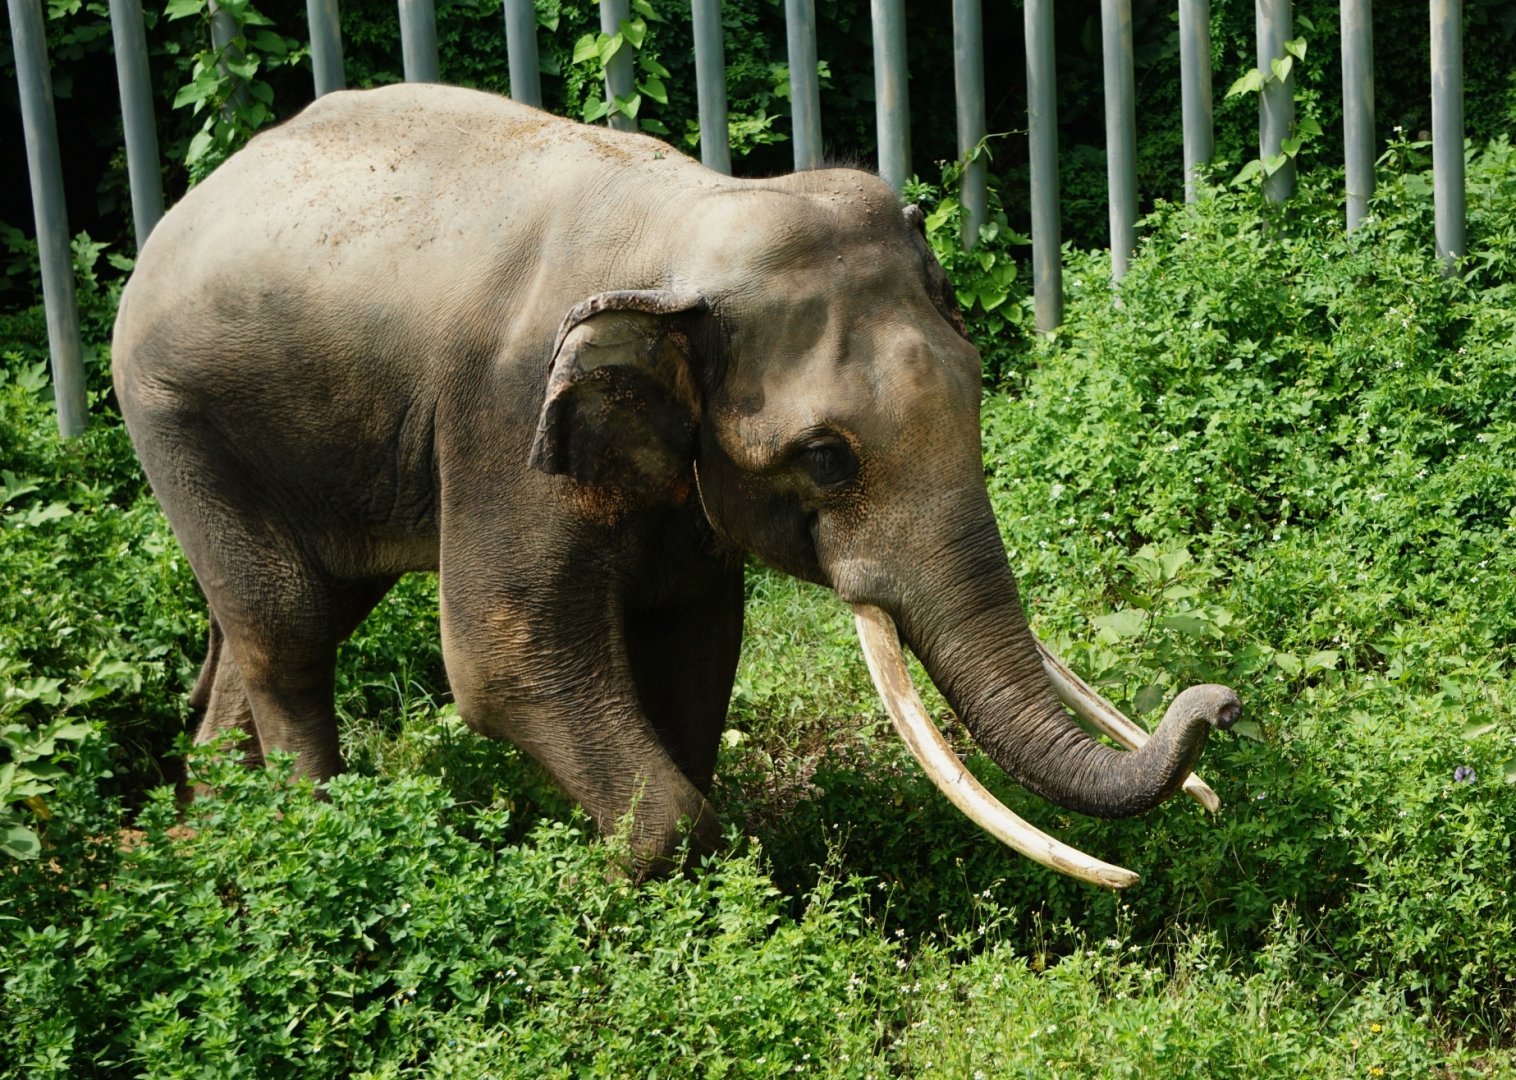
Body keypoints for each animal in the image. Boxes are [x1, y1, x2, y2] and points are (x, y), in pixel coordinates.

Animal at [112, 83, 1239, 887]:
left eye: (973, 394)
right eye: (826, 457)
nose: (1219, 705)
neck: (686, 224)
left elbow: (694, 638)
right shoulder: (506, 427)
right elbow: (504, 662)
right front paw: (630, 889)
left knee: (283, 617)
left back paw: (207, 837)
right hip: (177, 414)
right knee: (289, 623)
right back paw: (309, 836)